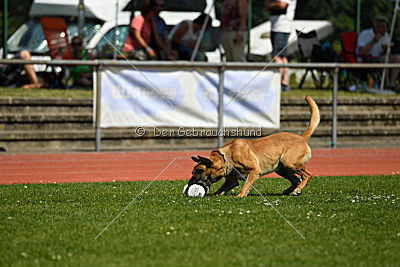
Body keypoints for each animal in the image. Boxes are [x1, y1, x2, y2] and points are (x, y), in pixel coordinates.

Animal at [189, 95, 320, 198]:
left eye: (199, 171)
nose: (189, 183)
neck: (226, 157)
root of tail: (301, 137)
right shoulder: (231, 181)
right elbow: (219, 191)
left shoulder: (255, 171)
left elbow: (246, 185)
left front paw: (241, 195)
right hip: (282, 169)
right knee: (296, 180)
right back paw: (290, 191)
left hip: (289, 163)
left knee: (307, 175)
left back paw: (297, 190)